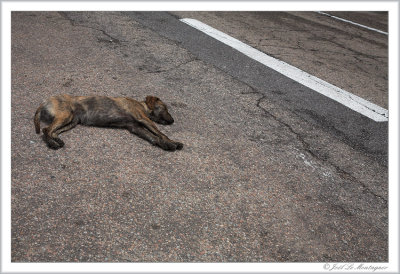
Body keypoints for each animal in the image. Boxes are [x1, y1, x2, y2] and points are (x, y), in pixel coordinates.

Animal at [33, 93, 184, 150]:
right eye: (165, 108)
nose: (172, 121)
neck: (143, 106)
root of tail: (45, 101)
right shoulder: (143, 119)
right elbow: (160, 133)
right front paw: (172, 142)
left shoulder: (135, 127)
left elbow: (153, 137)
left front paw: (165, 145)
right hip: (66, 116)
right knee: (46, 130)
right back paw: (52, 143)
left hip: (72, 121)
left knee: (53, 131)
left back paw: (57, 140)